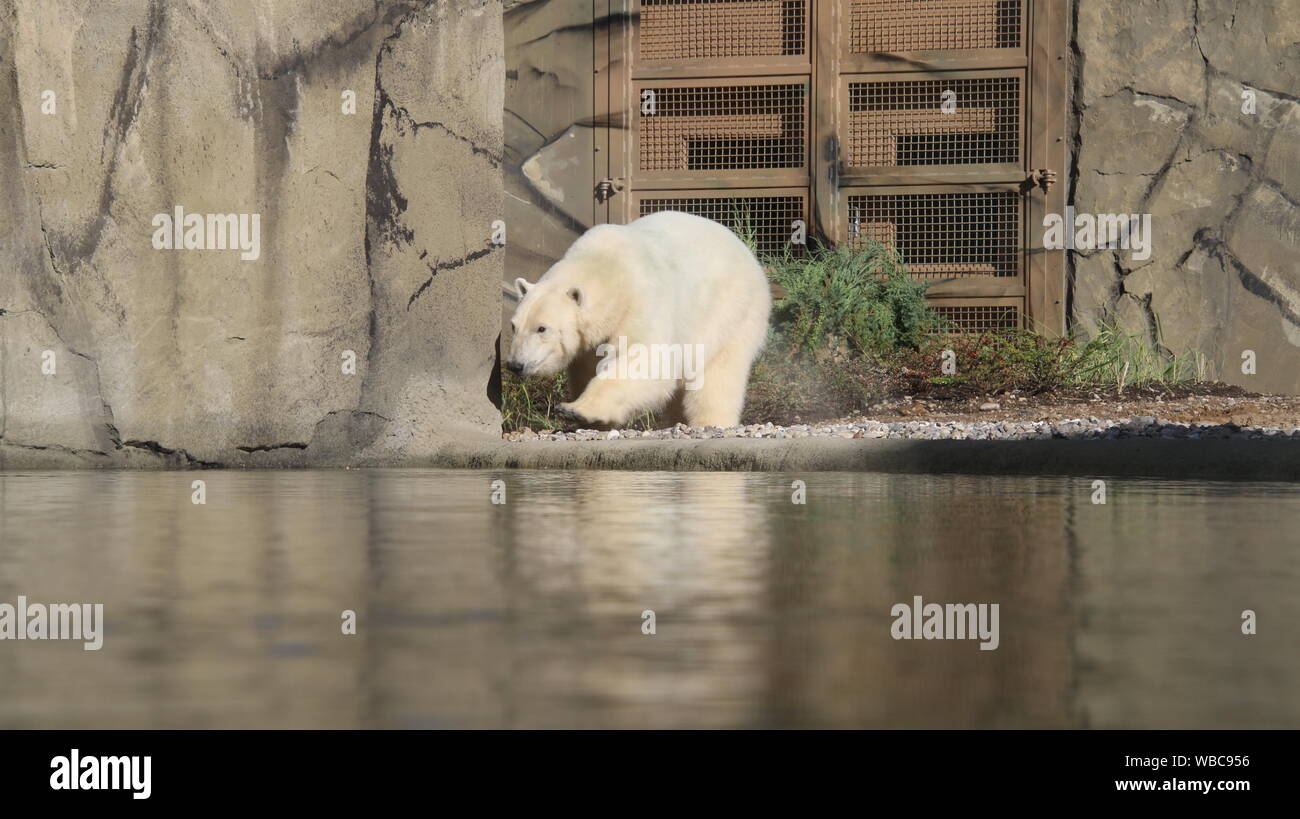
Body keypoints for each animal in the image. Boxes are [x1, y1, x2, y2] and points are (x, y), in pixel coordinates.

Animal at [504, 210, 769, 428]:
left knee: (717, 376)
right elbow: (587, 366)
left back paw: (710, 422)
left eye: (542, 328)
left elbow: (646, 358)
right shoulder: (589, 340)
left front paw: (576, 409)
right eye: (514, 326)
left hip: (732, 312)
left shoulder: (642, 302)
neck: (608, 268)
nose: (515, 364)